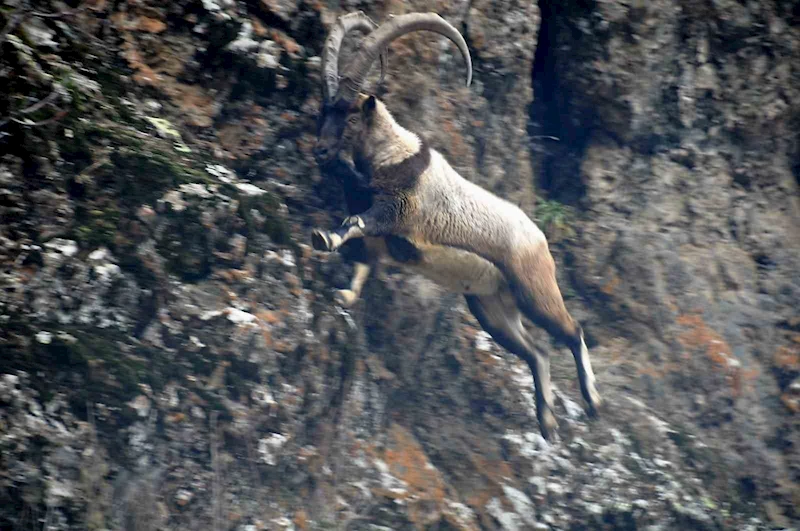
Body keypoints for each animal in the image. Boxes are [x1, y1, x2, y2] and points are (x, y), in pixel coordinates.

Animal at [312, 11, 600, 440]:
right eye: (325, 109)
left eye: (347, 114)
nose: (320, 150)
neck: (395, 157)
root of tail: (540, 240)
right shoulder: (382, 237)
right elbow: (366, 260)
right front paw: (345, 295)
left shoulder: (398, 210)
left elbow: (356, 224)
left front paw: (324, 238)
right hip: (490, 306)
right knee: (536, 351)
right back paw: (547, 422)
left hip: (532, 289)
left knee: (571, 330)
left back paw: (593, 402)